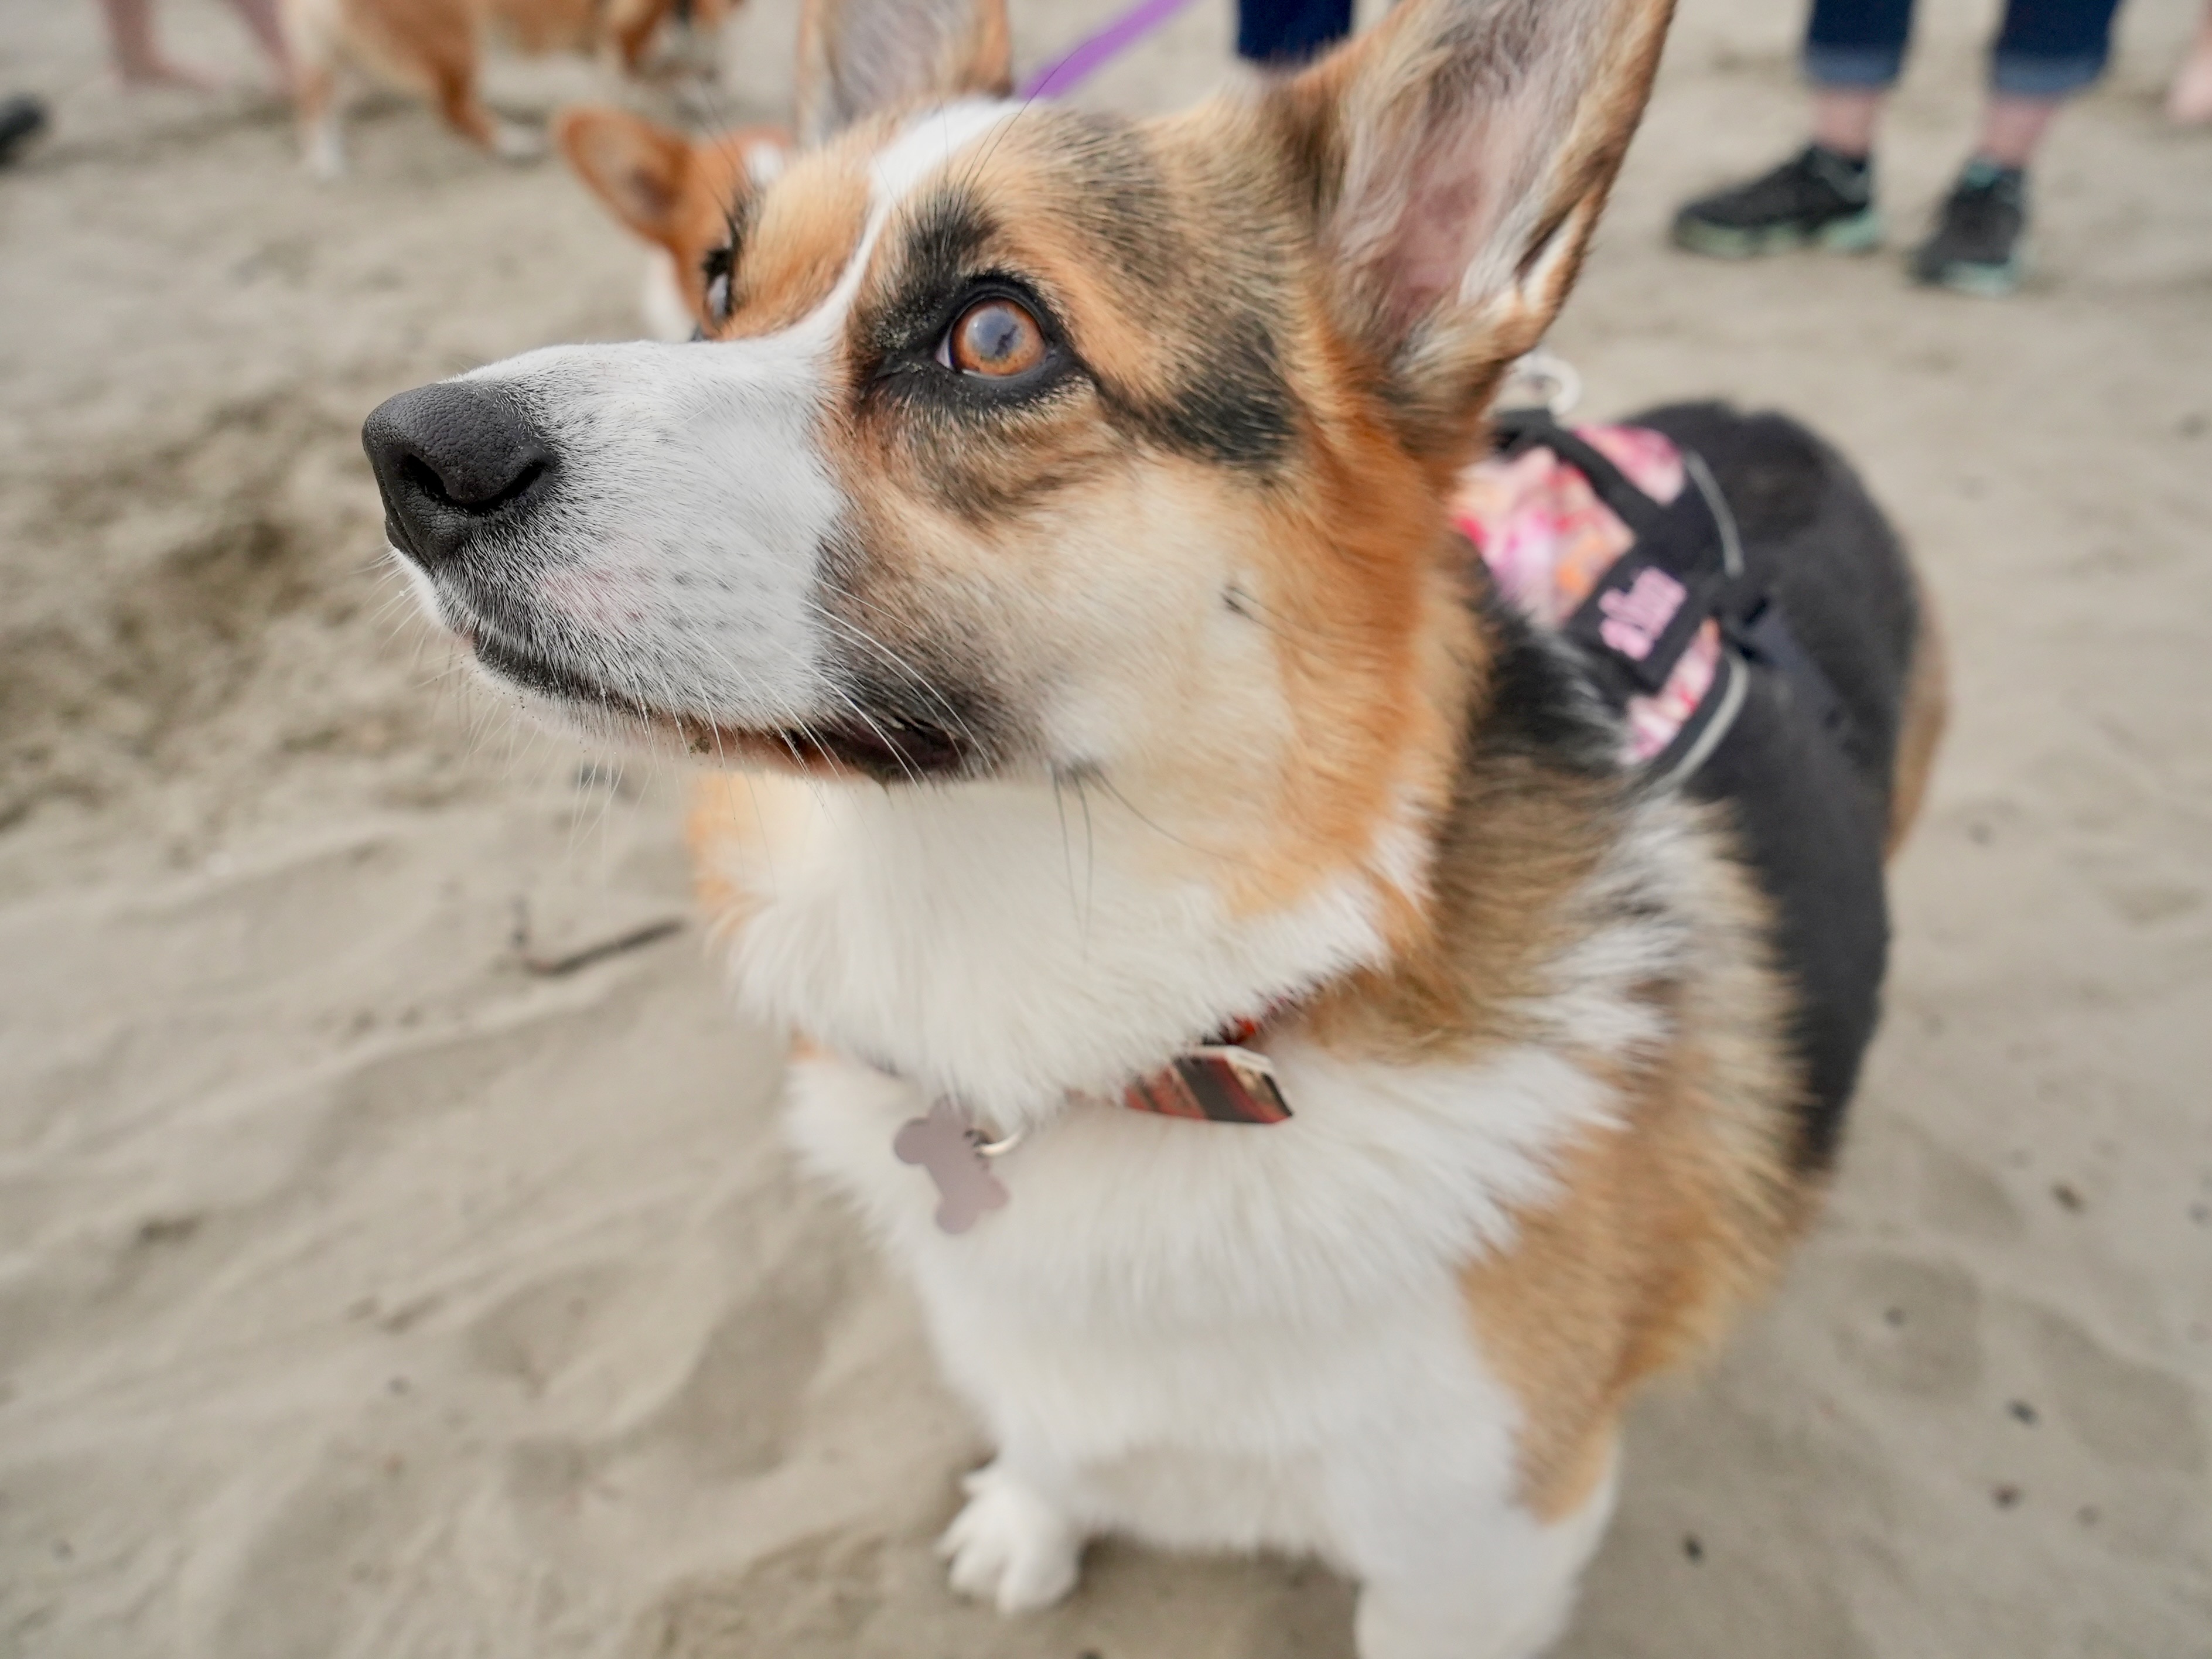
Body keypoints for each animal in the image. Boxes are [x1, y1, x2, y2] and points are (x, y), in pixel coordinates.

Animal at [278, 0, 734, 177]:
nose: (717, 75)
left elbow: (660, 75)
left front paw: (691, 94)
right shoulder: (628, 34)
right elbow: (630, 74)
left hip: (346, 53)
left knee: (315, 98)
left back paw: (325, 158)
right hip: (459, 39)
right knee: (454, 108)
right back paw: (513, 144)